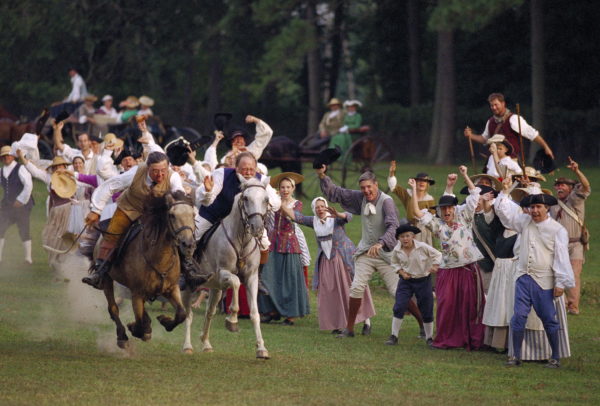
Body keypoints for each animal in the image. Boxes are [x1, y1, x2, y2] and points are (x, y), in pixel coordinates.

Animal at [99, 192, 196, 348]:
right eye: (172, 215)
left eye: (193, 214)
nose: (188, 245)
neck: (159, 258)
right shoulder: (137, 292)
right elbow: (138, 325)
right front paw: (138, 329)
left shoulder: (172, 288)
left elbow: (181, 314)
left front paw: (164, 321)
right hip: (107, 278)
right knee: (113, 308)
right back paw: (122, 336)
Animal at [180, 178, 270, 358]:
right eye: (246, 198)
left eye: (266, 199)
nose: (257, 228)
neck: (241, 239)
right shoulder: (222, 273)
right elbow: (235, 282)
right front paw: (232, 320)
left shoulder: (251, 277)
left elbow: (254, 313)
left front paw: (261, 348)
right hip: (189, 287)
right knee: (188, 315)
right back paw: (187, 346)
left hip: (215, 289)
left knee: (209, 313)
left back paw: (206, 343)